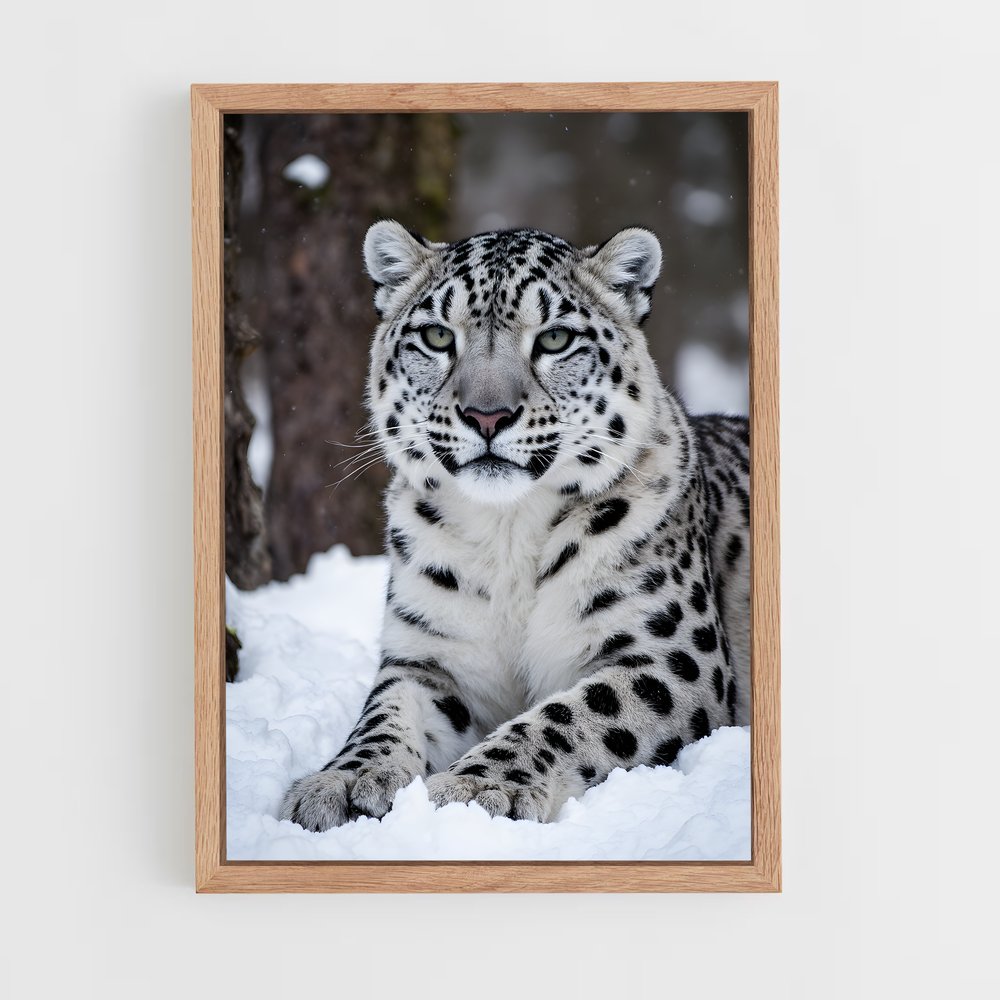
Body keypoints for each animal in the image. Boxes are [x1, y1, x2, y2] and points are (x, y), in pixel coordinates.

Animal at [279, 220, 750, 831]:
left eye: (554, 340)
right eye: (437, 336)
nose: (487, 415)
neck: (507, 537)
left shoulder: (669, 655)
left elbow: (572, 714)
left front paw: (479, 787)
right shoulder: (429, 658)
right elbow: (383, 714)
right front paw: (343, 782)